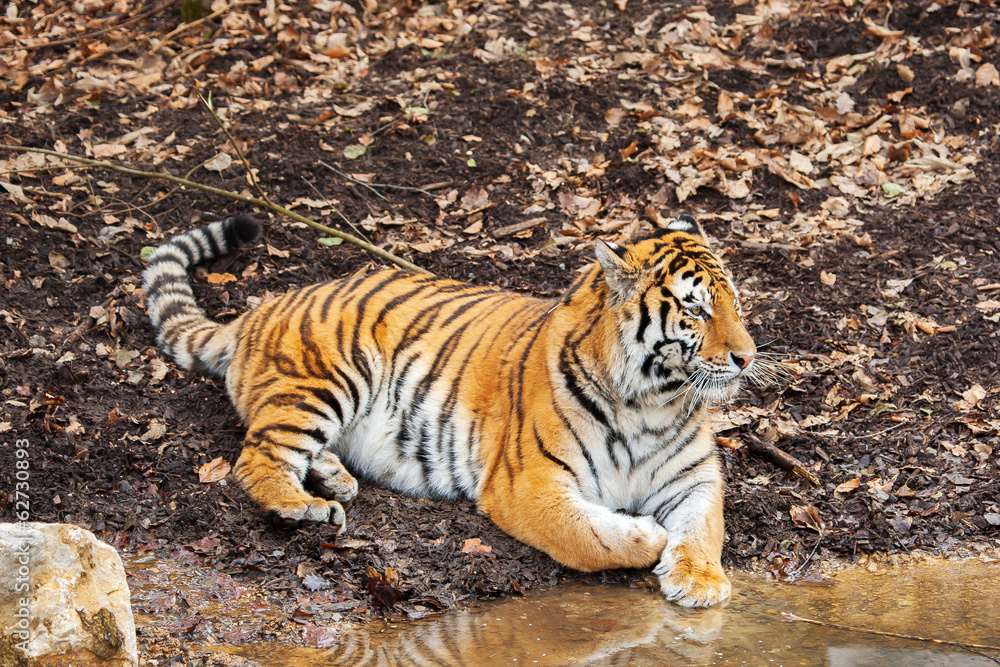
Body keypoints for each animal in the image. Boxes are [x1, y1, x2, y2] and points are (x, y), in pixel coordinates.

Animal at [142, 213, 759, 607]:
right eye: (696, 310)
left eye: (735, 301)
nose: (748, 357)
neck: (650, 401)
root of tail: (260, 309)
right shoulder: (529, 483)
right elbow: (589, 536)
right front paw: (650, 538)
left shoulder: (695, 477)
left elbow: (706, 528)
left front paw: (701, 580)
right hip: (328, 379)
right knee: (257, 456)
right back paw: (305, 507)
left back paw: (335, 479)